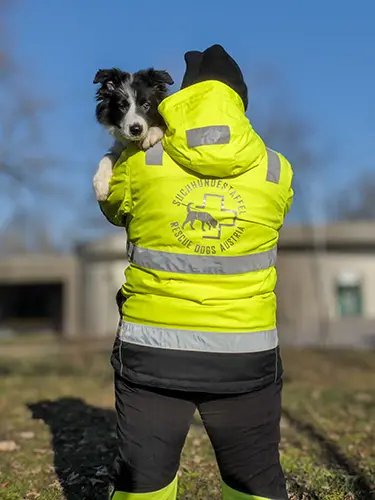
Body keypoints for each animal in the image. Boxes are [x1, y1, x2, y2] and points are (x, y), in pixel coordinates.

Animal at [92, 67, 175, 200]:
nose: (136, 129)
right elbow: (107, 156)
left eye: (146, 105)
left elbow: (163, 126)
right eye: (122, 106)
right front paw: (100, 185)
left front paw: (151, 134)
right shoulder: (119, 148)